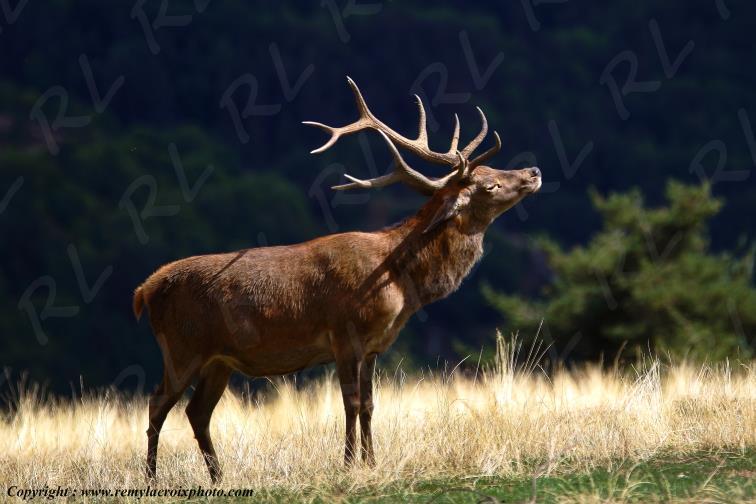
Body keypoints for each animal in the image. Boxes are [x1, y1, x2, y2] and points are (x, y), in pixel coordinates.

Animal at [133, 77, 541, 482]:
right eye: (488, 185)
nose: (533, 172)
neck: (399, 282)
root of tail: (144, 290)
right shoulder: (345, 332)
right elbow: (351, 402)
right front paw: (347, 465)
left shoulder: (374, 345)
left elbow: (371, 405)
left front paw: (372, 462)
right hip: (182, 347)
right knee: (157, 404)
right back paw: (152, 478)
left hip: (218, 360)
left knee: (196, 412)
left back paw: (219, 477)